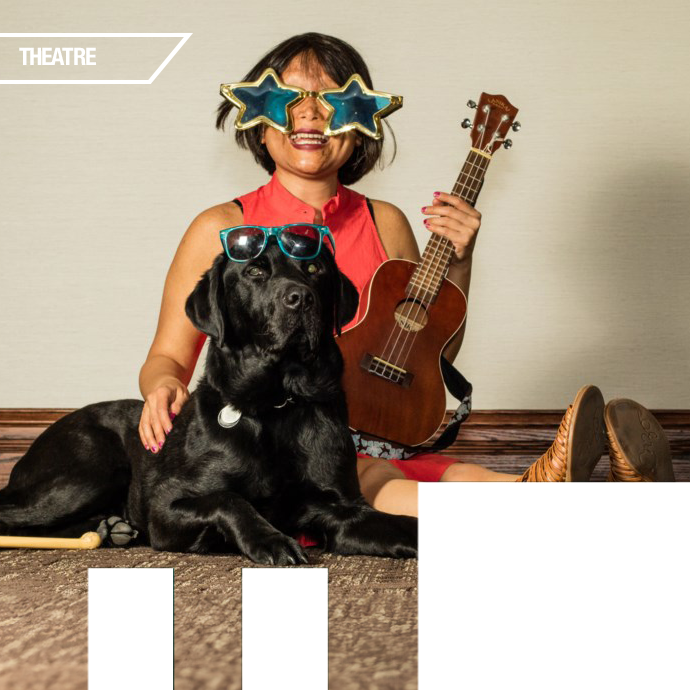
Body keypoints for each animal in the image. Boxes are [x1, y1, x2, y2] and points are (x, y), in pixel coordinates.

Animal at [0, 239, 416, 560]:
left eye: (315, 269)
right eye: (255, 272)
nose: (302, 299)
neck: (278, 404)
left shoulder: (343, 508)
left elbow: (400, 525)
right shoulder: (165, 507)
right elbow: (229, 500)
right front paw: (271, 540)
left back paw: (108, 528)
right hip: (90, 471)